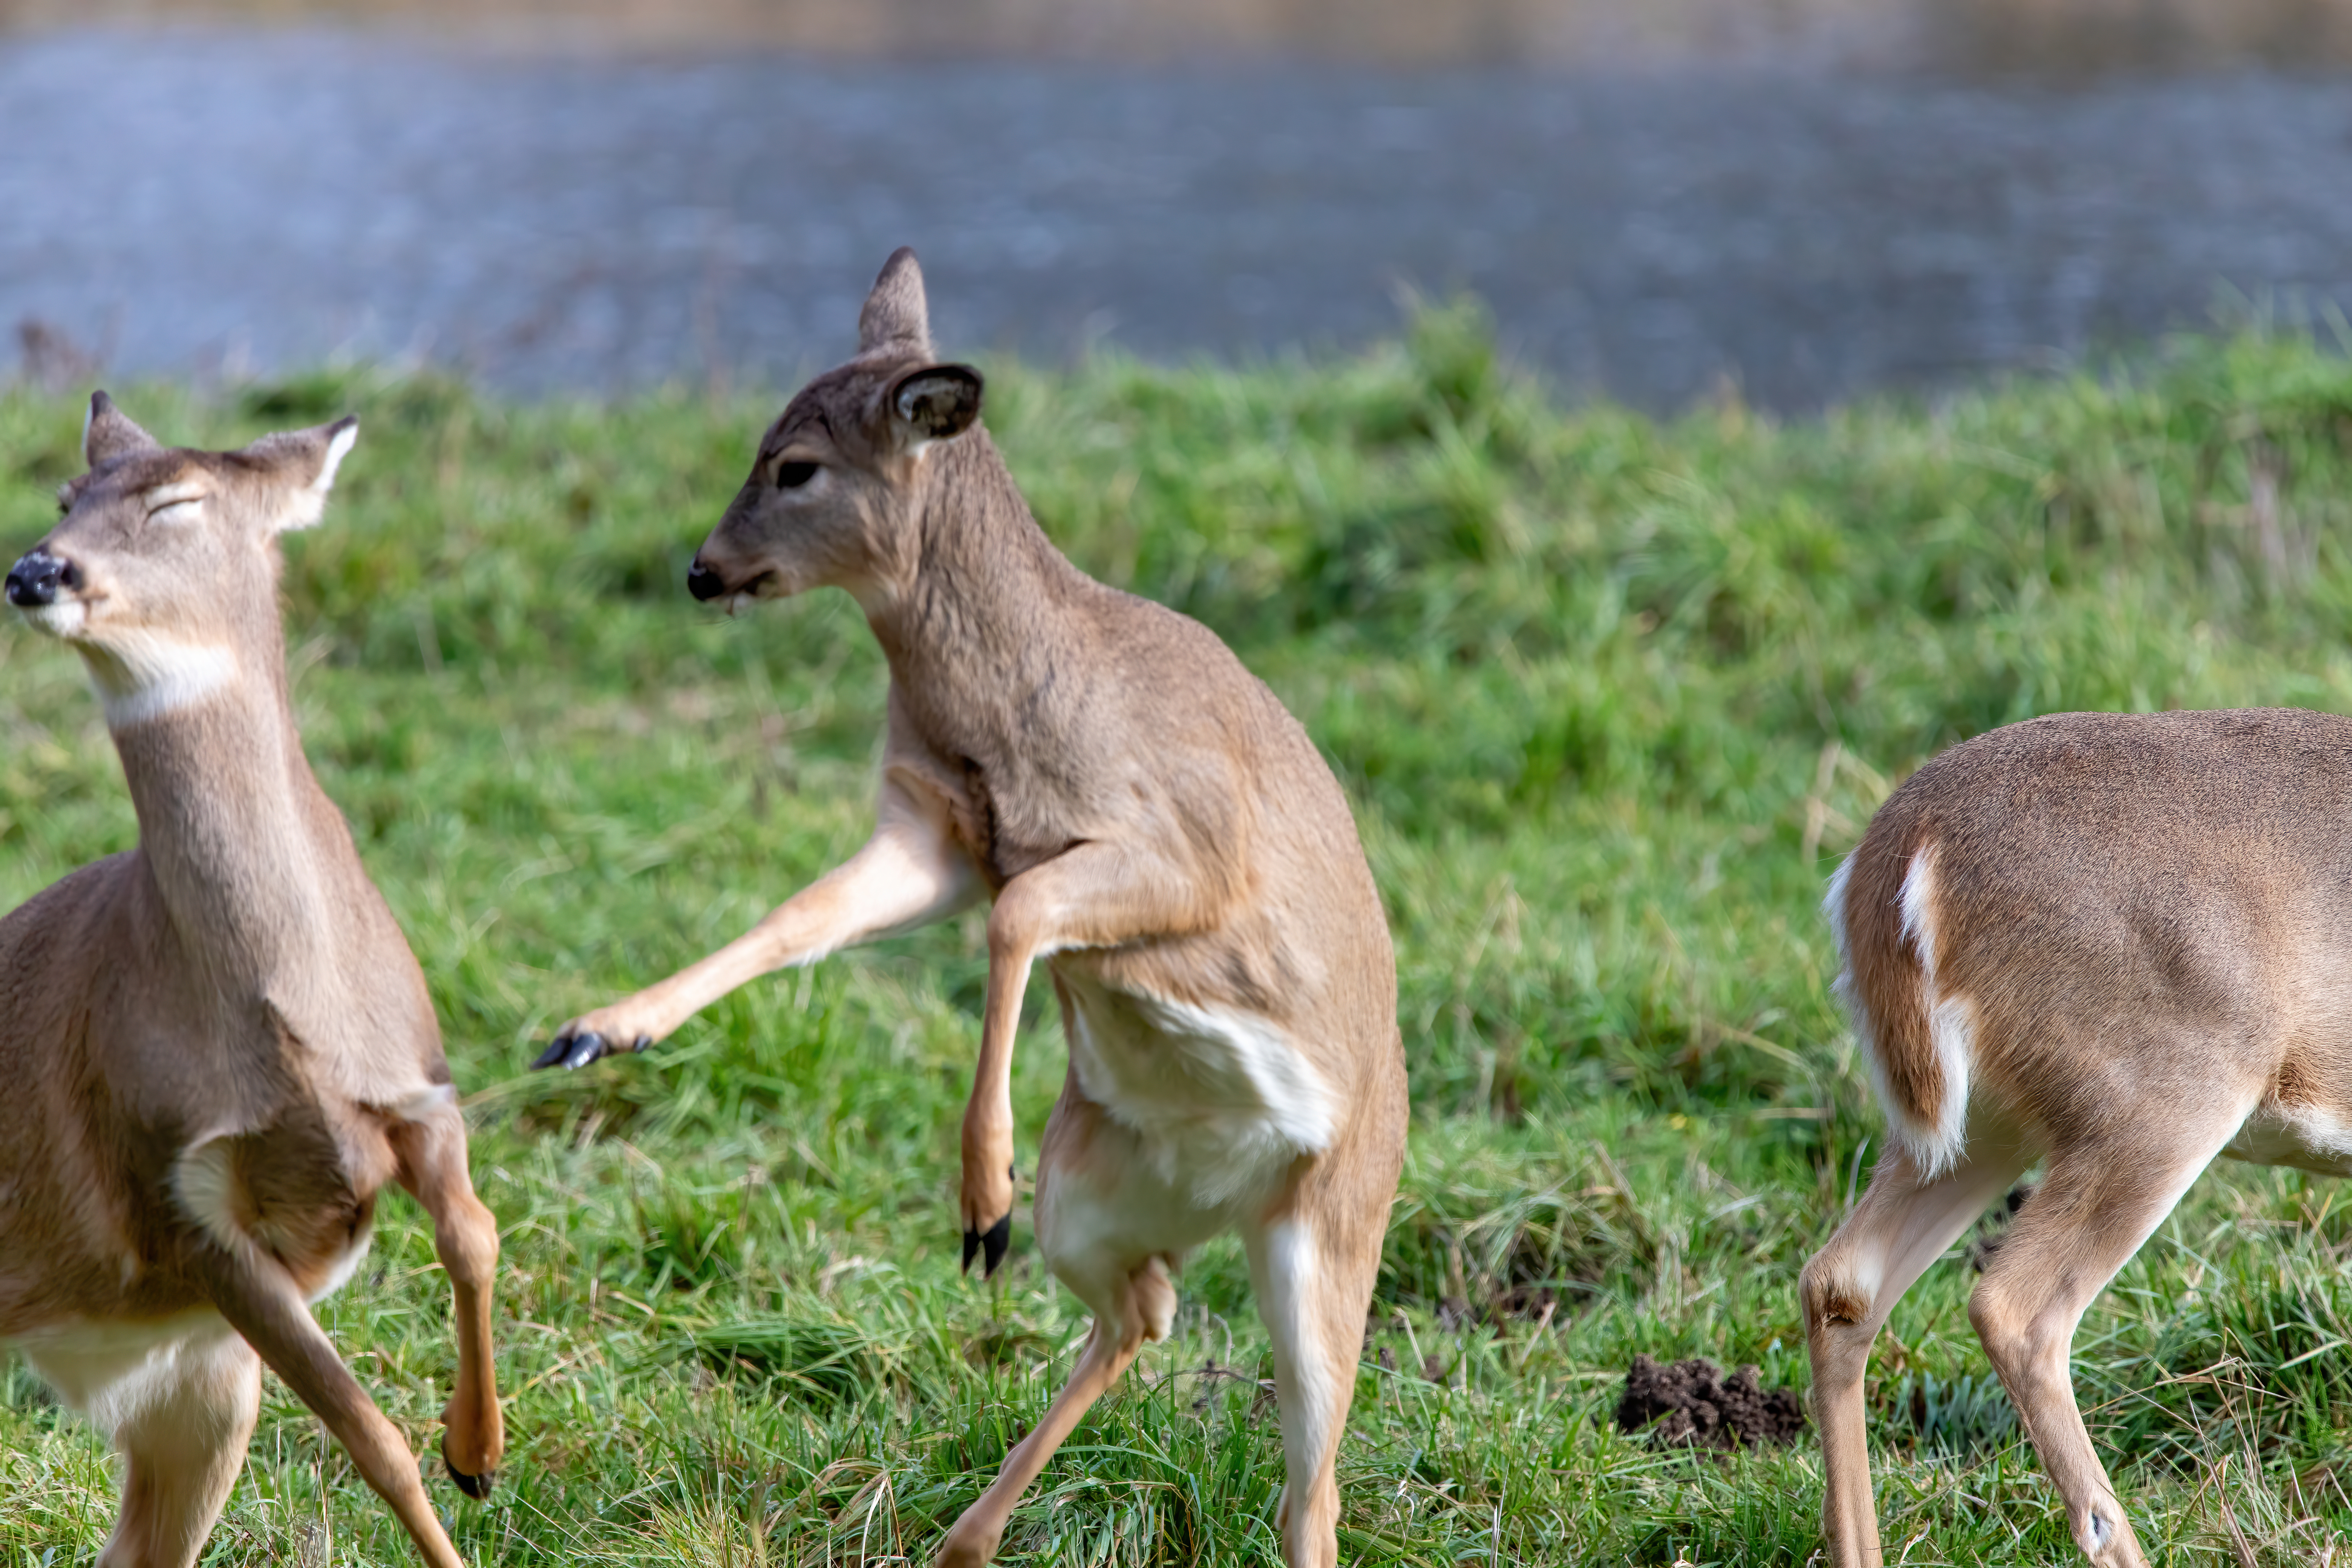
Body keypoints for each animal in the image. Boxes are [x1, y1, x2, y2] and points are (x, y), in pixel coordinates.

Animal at [0, 395, 505, 1568]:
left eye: (175, 502)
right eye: (67, 496)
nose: (37, 571)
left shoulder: (421, 1081)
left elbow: (475, 1232)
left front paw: (480, 1449)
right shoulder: (180, 1202)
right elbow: (374, 1443)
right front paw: (456, 1463)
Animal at [534, 248, 1408, 1568]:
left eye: (798, 465)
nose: (700, 570)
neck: (1007, 706)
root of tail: (1234, 1186)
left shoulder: (1188, 851)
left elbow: (1022, 913)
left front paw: (975, 1192)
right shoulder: (933, 832)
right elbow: (804, 916)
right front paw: (596, 1028)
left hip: (1331, 1231)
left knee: (1313, 1485)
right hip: (1095, 1200)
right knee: (1146, 1311)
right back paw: (964, 1534)